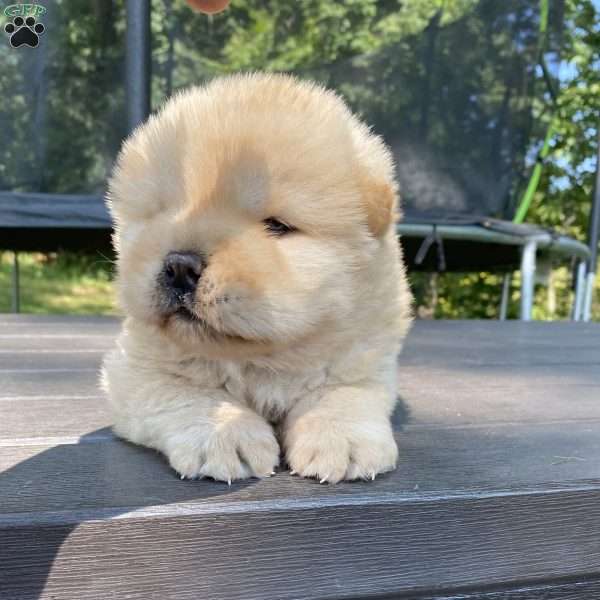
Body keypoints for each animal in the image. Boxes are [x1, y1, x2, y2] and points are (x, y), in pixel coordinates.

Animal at [102, 72, 412, 482]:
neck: (263, 361)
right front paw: (225, 435)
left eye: (276, 226)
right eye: (163, 213)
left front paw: (341, 441)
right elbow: (187, 393)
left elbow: (342, 394)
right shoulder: (133, 370)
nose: (179, 265)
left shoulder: (365, 361)